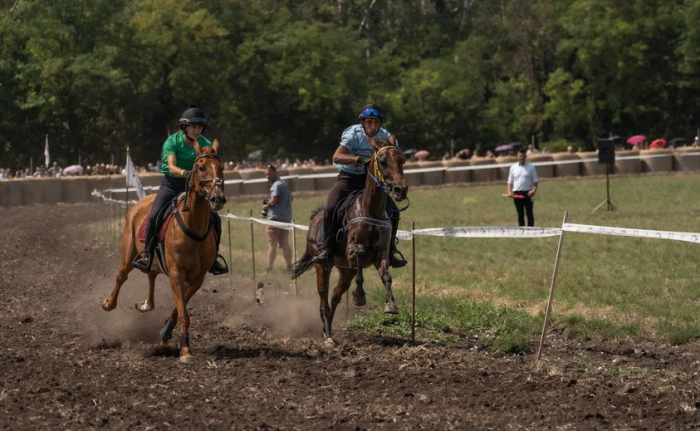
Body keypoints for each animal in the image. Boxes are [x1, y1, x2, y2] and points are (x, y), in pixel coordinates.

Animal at [101, 140, 226, 362]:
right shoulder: (176, 274)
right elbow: (183, 312)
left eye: (222, 168)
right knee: (121, 277)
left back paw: (146, 304)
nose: (217, 198)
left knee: (150, 273)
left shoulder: (197, 278)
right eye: (201, 167)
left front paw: (166, 334)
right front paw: (185, 350)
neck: (192, 226)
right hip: (127, 256)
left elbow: (179, 309)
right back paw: (109, 303)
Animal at [292, 138, 408, 348]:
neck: (369, 210)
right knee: (323, 300)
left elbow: (387, 277)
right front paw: (359, 296)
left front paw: (391, 305)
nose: (400, 190)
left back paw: (328, 329)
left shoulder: (381, 254)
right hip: (323, 266)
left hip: (346, 271)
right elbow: (360, 254)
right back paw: (328, 336)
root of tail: (315, 220)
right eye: (383, 161)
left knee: (334, 297)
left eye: (402, 159)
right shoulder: (352, 251)